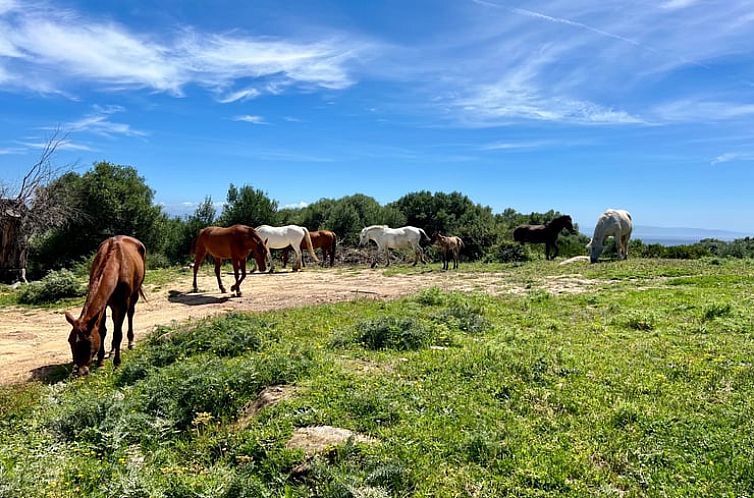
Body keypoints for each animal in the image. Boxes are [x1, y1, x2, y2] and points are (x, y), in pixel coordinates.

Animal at [65, 235, 147, 376]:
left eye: (89, 343)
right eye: (70, 341)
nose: (80, 371)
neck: (117, 264)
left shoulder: (123, 303)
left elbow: (118, 333)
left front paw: (117, 363)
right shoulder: (104, 304)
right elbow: (102, 330)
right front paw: (100, 361)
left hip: (134, 293)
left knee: (130, 313)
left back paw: (131, 342)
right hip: (113, 303)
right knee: (114, 319)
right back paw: (112, 350)